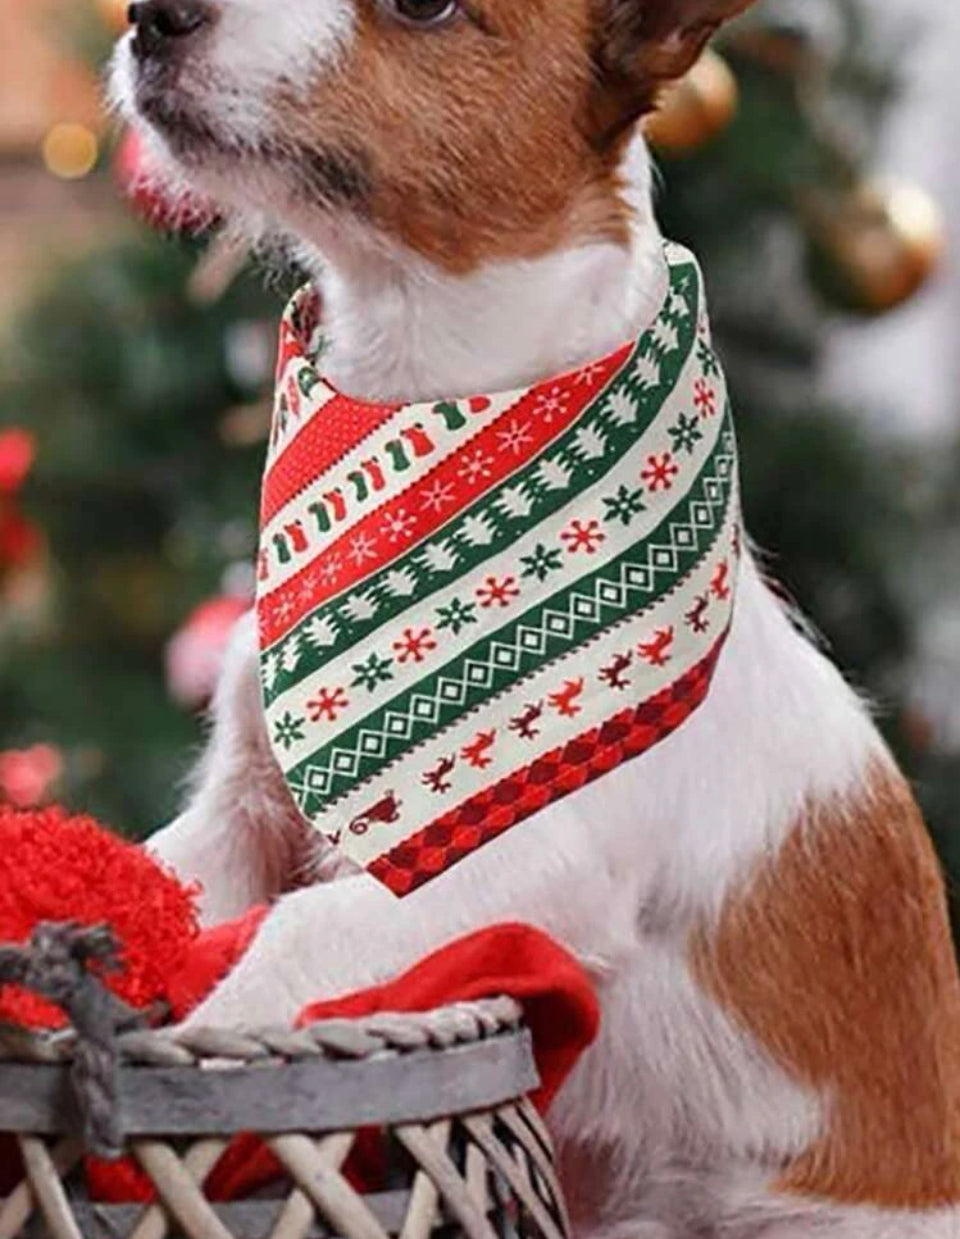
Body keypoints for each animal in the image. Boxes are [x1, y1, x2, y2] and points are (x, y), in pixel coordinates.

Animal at [109, 4, 960, 1234]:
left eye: (426, 9)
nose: (152, 17)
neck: (421, 407)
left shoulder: (522, 862)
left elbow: (301, 931)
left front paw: (198, 1050)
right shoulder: (242, 814)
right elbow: (166, 880)